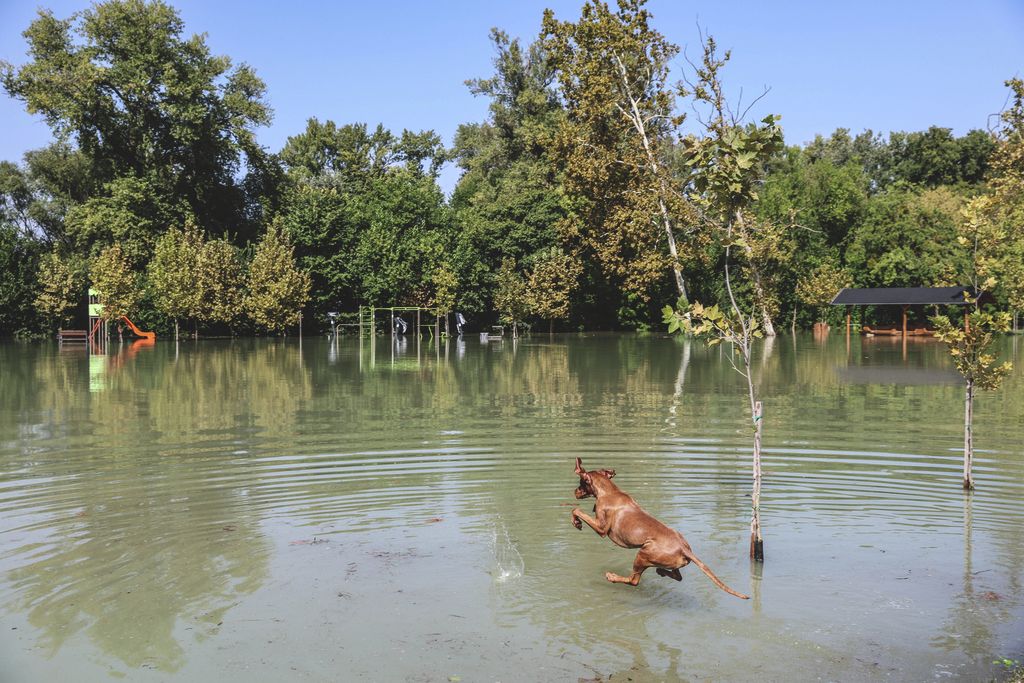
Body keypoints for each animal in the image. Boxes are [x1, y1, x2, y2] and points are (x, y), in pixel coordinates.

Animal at [573, 458, 749, 598]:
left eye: (580, 483)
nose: (575, 492)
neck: (609, 491)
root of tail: (685, 549)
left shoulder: (601, 528)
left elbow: (576, 510)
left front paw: (577, 522)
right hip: (668, 560)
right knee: (677, 576)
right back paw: (662, 572)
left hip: (643, 554)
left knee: (634, 580)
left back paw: (612, 577)